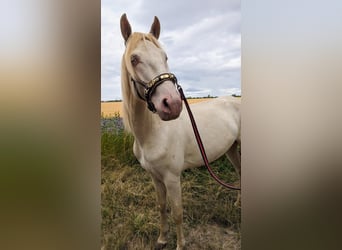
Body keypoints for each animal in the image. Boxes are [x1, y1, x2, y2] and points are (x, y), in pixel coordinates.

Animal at [119, 14, 240, 250]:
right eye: (134, 59)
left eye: (165, 56)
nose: (172, 104)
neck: (152, 133)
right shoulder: (155, 177)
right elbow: (161, 207)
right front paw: (162, 239)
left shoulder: (172, 178)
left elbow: (177, 213)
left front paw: (180, 245)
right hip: (232, 149)